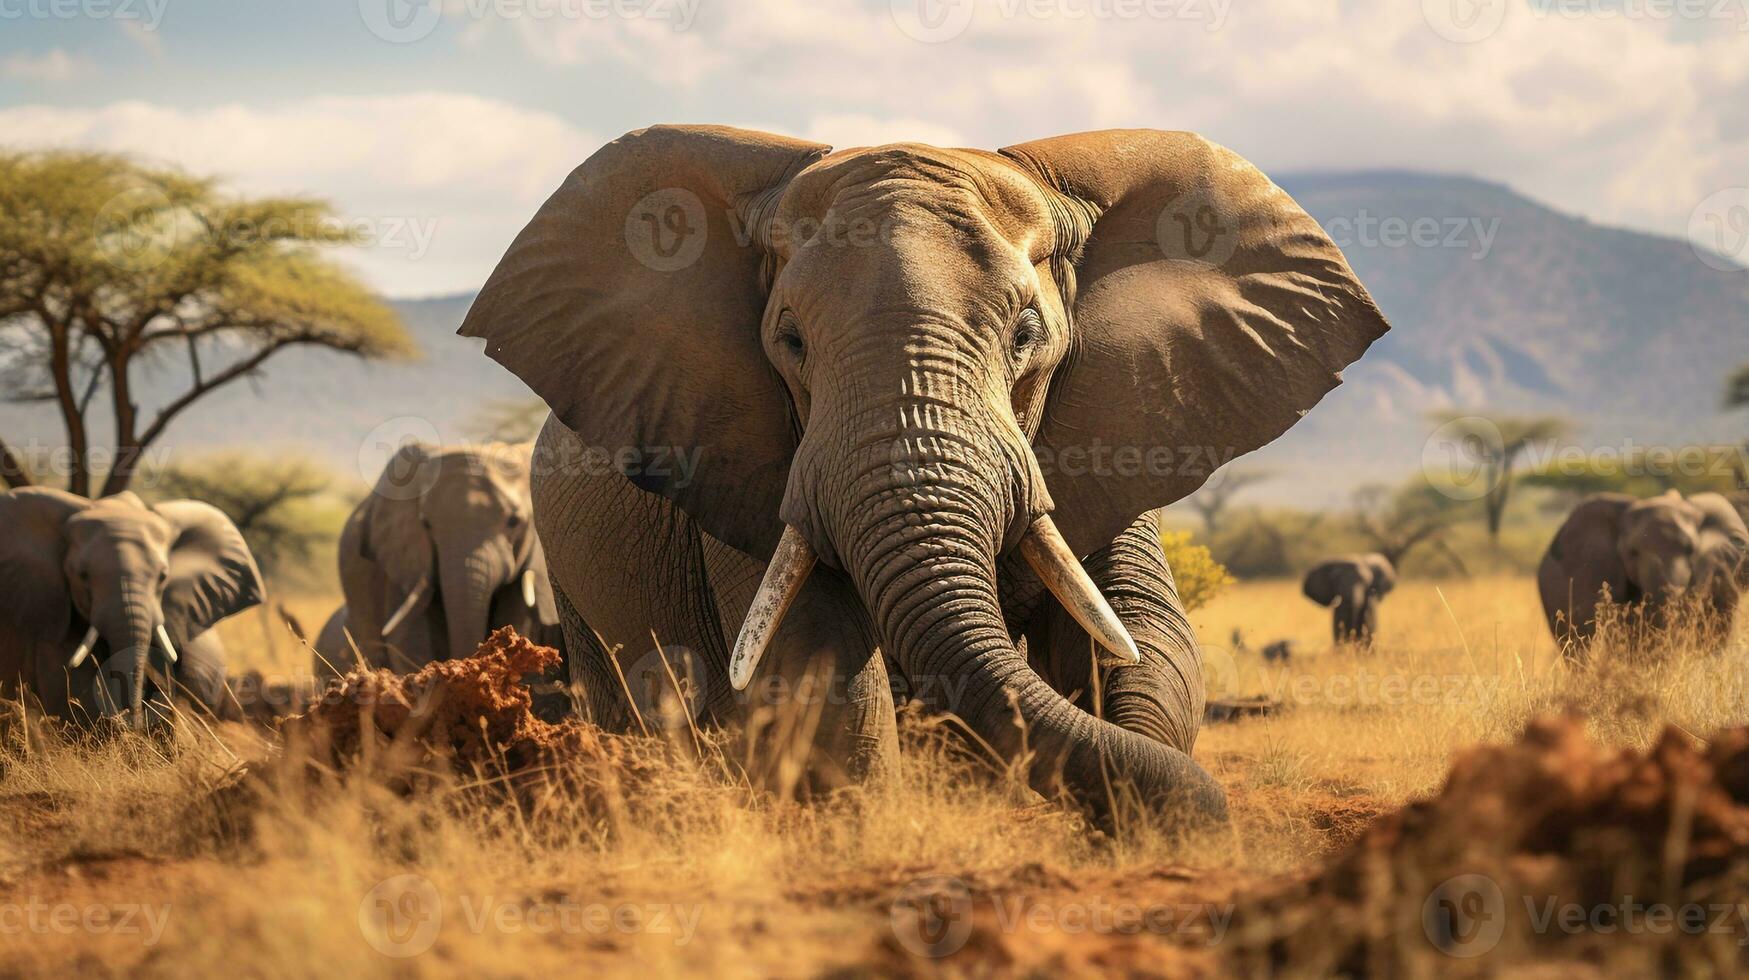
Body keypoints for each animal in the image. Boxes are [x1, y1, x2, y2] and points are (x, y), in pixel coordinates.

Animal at [458, 122, 1385, 826]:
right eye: (789, 340)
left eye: (1025, 335)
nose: (1207, 819)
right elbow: (812, 662)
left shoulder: (1122, 421)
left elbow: (1145, 635)